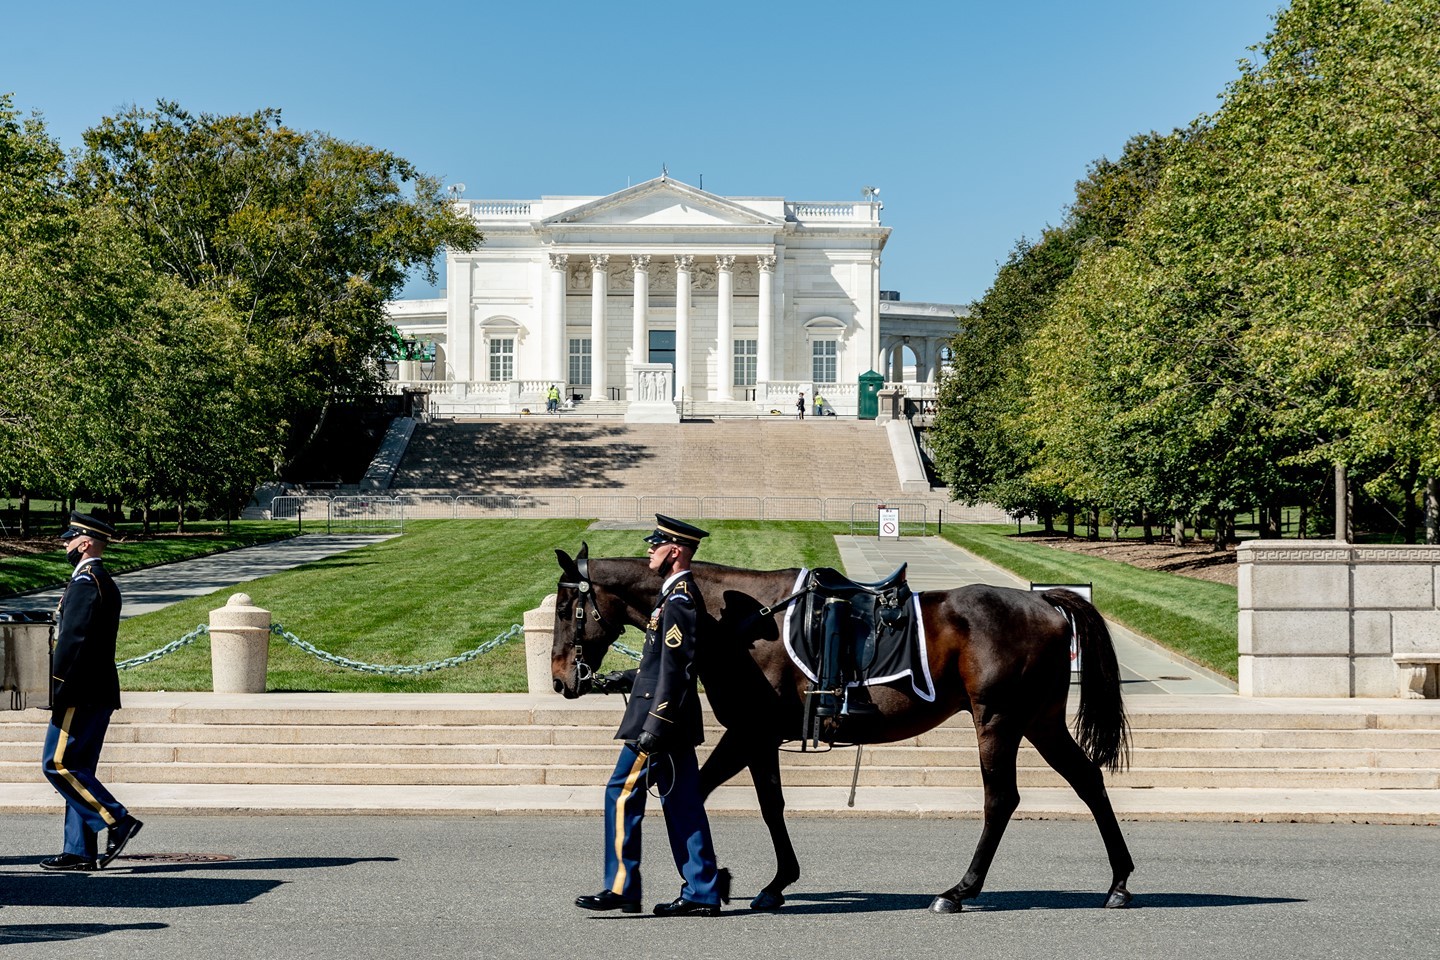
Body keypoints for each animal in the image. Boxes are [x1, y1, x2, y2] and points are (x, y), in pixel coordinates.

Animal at [550, 544, 1134, 915]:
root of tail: (1043, 599)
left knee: (1002, 799)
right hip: (1039, 720)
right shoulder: (759, 737)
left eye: (564, 606)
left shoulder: (748, 731)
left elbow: (702, 791)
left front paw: (712, 884)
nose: (559, 678)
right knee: (1088, 780)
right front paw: (765, 883)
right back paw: (1119, 882)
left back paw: (959, 890)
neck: (736, 619)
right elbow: (767, 804)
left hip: (998, 720)